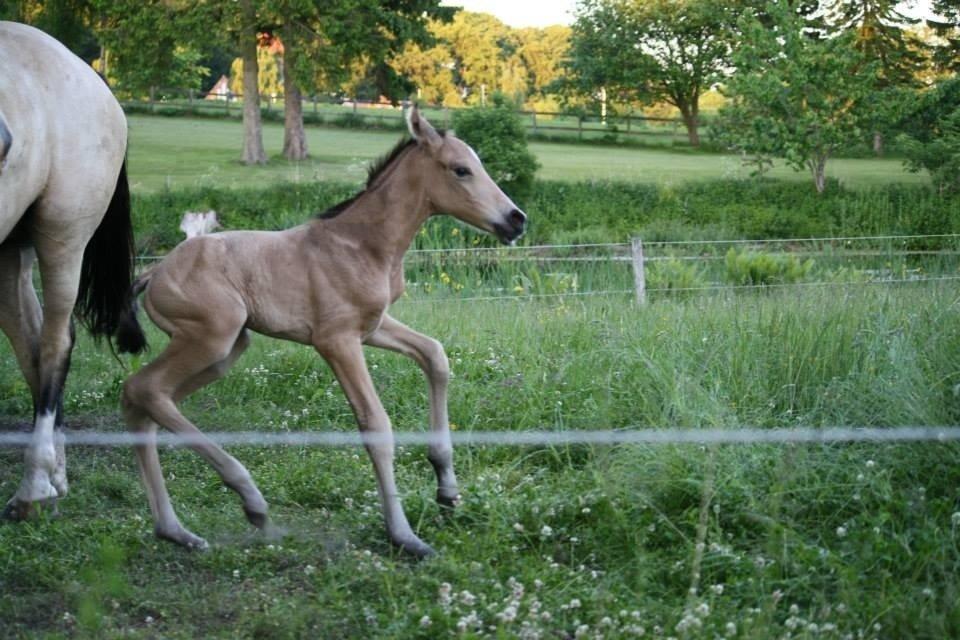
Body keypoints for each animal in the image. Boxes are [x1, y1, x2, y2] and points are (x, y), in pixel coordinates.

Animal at [0, 21, 142, 520]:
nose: (3, 141)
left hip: (63, 238)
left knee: (55, 343)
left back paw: (35, 484)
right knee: (30, 345)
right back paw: (53, 475)